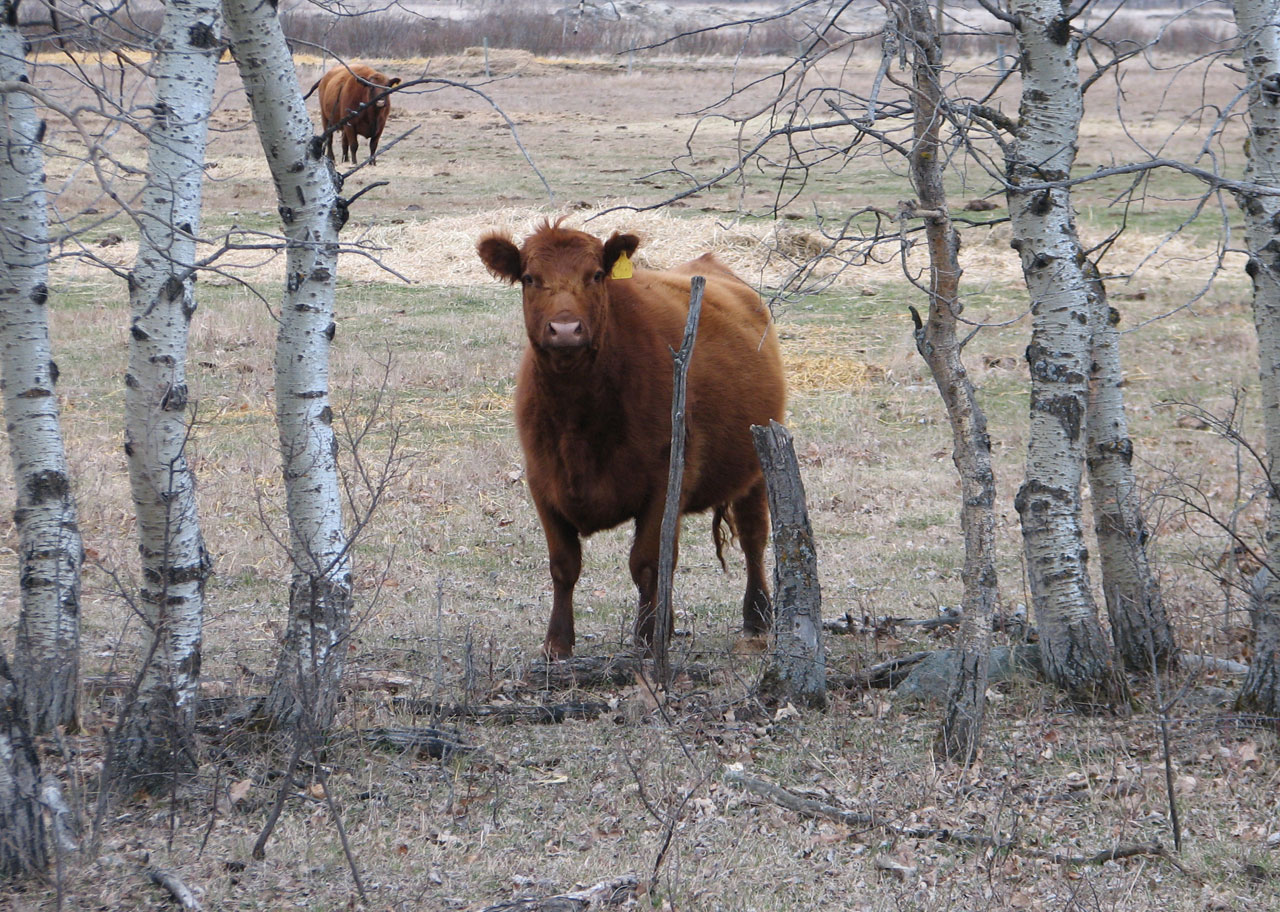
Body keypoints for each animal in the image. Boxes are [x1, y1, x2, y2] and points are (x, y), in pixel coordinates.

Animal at [478, 220, 783, 660]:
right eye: (530, 278)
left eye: (596, 275)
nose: (566, 329)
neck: (579, 415)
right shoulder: (542, 480)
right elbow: (563, 565)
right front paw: (557, 643)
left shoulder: (663, 480)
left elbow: (647, 563)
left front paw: (646, 638)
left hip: (758, 462)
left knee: (754, 538)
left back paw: (756, 620)